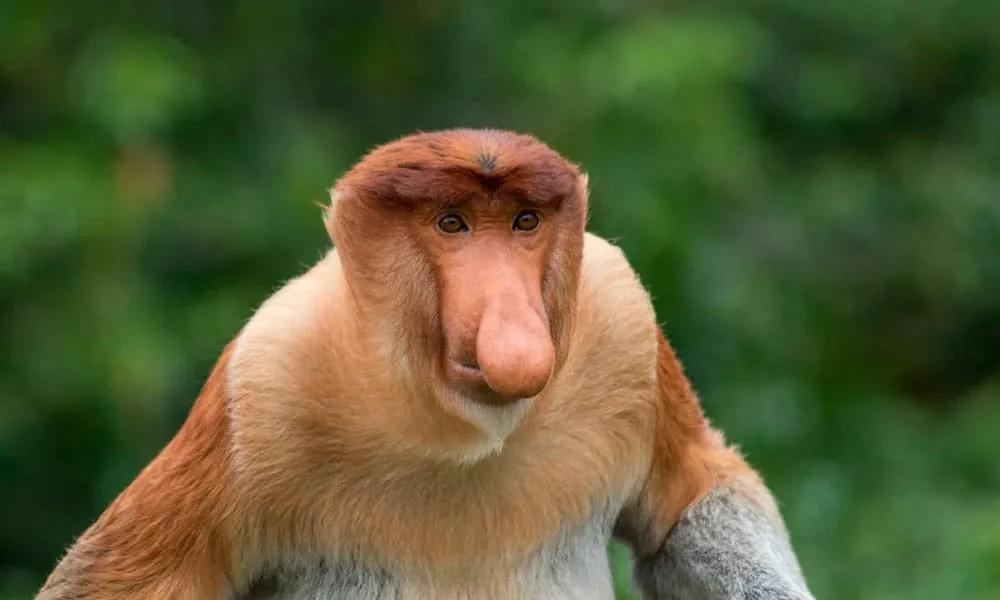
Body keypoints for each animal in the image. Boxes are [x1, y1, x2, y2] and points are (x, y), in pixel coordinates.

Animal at [38, 129, 813, 600]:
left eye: (525, 222)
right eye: (451, 224)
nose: (512, 325)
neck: (462, 431)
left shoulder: (620, 322)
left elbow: (694, 496)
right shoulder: (265, 375)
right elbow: (123, 578)